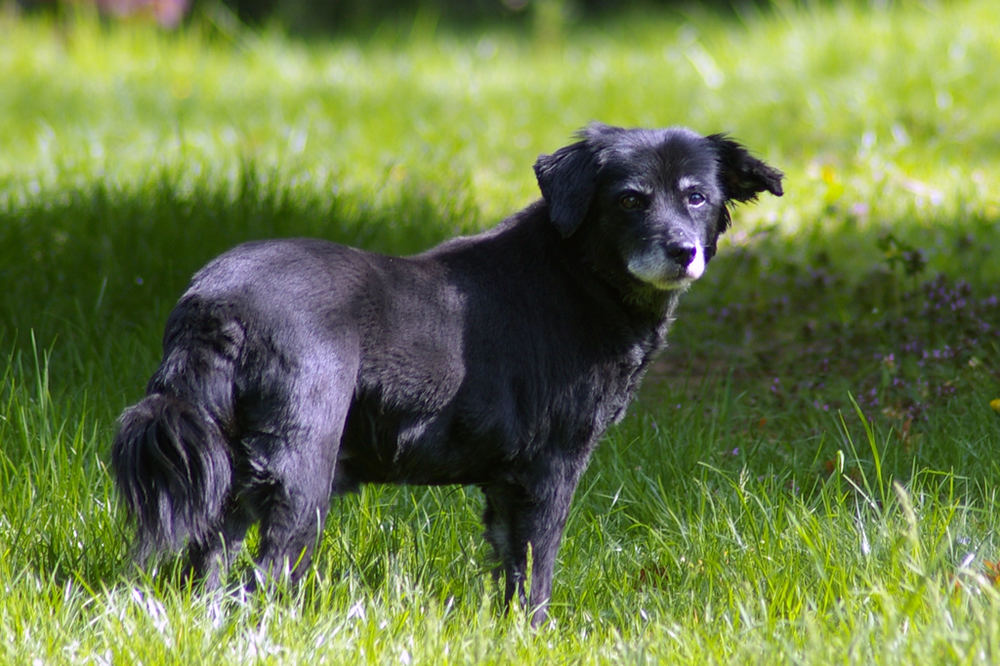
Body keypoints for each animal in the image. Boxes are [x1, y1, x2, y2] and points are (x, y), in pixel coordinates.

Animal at [109, 123, 780, 624]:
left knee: (207, 568)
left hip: (234, 476)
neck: (577, 273)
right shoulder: (552, 468)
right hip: (303, 473)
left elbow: (509, 570)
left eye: (697, 196)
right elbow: (538, 572)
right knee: (263, 578)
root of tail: (213, 298)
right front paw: (536, 637)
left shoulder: (505, 484)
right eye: (630, 199)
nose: (682, 251)